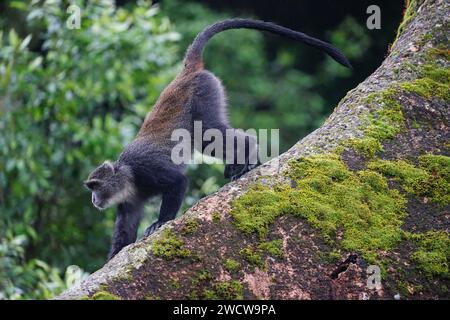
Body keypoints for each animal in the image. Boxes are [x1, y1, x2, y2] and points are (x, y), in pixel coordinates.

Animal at [84, 18, 352, 260]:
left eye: (95, 186)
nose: (94, 199)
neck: (126, 176)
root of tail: (187, 72)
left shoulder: (147, 170)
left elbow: (178, 181)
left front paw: (160, 223)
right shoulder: (129, 201)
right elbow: (125, 230)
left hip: (204, 94)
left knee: (208, 135)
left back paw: (246, 156)